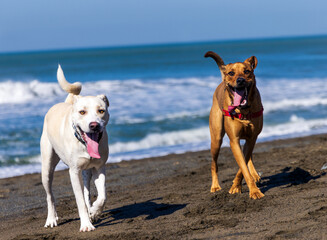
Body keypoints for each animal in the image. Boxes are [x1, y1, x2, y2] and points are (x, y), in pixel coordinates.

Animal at [40, 64, 110, 232]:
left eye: (101, 110)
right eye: (82, 112)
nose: (94, 125)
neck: (84, 144)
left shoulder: (99, 167)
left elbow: (102, 196)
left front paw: (95, 212)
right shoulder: (74, 172)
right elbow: (79, 202)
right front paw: (86, 225)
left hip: (86, 172)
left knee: (86, 191)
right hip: (47, 167)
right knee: (49, 194)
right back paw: (51, 219)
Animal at [206, 51, 266, 200]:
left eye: (247, 71)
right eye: (231, 73)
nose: (240, 80)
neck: (243, 109)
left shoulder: (252, 137)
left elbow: (243, 165)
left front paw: (237, 185)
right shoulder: (234, 140)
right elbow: (242, 166)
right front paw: (252, 190)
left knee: (249, 157)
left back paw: (255, 174)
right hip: (216, 139)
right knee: (213, 164)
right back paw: (215, 186)